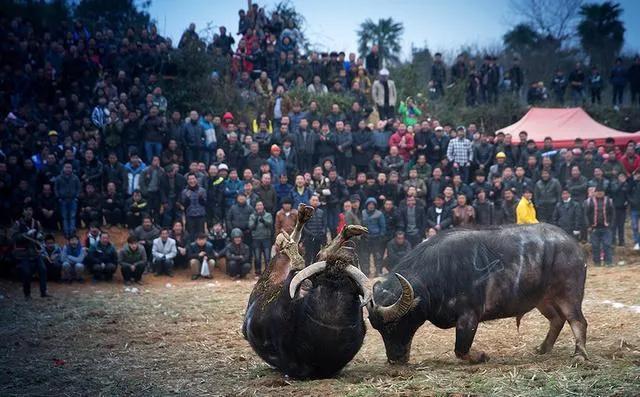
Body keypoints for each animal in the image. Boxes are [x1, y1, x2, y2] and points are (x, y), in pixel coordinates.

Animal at [241, 204, 370, 378]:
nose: (348, 254)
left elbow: (299, 266)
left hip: (266, 280)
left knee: (290, 258)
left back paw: (290, 236)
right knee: (316, 254)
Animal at [368, 223, 588, 362]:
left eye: (393, 325)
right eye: (378, 328)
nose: (395, 359)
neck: (438, 273)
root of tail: (574, 246)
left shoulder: (469, 316)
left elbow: (461, 349)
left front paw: (482, 356)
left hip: (569, 295)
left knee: (577, 321)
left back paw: (579, 354)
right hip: (543, 300)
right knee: (557, 319)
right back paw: (543, 348)